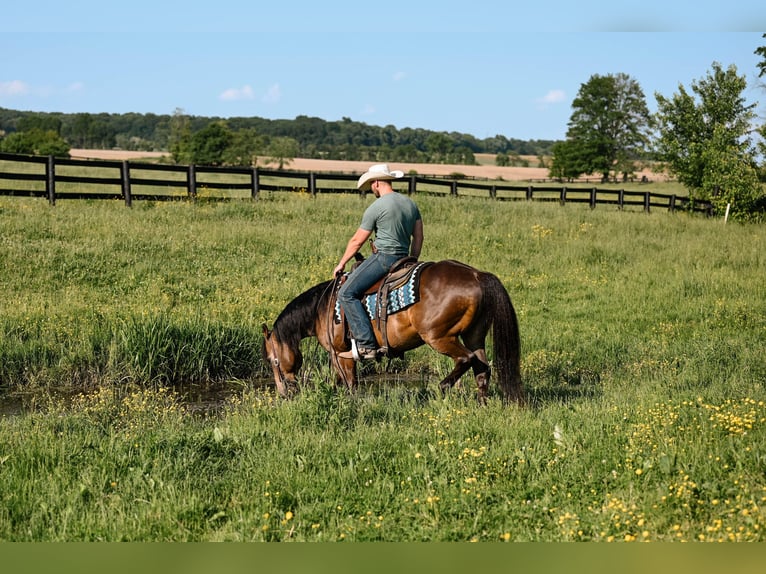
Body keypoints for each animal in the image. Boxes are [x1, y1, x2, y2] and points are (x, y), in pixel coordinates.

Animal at [260, 260, 524, 404]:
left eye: (274, 360)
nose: (284, 392)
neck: (321, 308)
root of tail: (477, 275)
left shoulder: (341, 354)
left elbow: (349, 385)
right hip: (474, 335)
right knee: (482, 369)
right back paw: (482, 405)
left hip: (439, 337)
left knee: (465, 359)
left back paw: (442, 386)